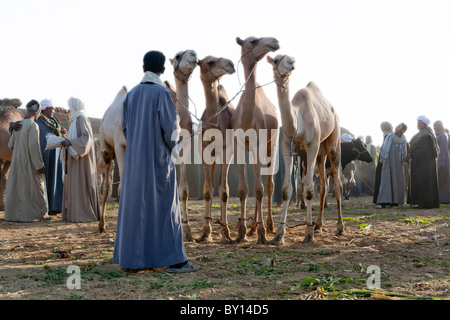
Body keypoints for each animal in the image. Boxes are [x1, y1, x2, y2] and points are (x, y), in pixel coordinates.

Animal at [268, 53, 344, 244]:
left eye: (291, 59)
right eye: (276, 59)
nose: (290, 63)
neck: (298, 123)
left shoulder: (311, 146)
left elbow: (309, 189)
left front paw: (308, 233)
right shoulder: (287, 146)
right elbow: (286, 189)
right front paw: (279, 234)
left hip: (332, 140)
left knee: (337, 184)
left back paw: (339, 227)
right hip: (320, 151)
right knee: (323, 185)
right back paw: (319, 224)